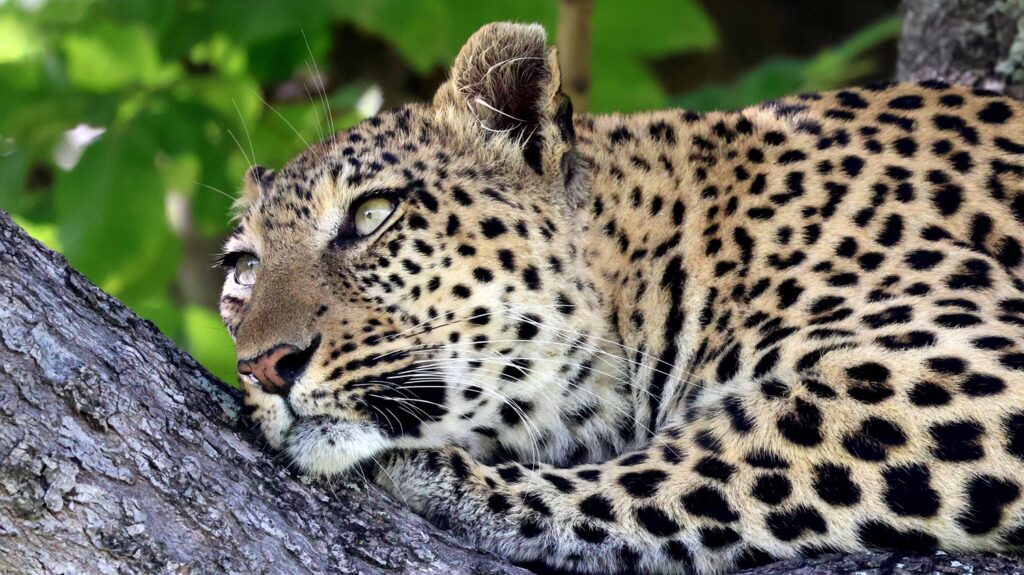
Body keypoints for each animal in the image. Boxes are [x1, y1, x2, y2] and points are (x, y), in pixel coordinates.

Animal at [218, 22, 1024, 574]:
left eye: (372, 214)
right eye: (242, 270)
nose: (263, 366)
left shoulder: (964, 360)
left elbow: (703, 462)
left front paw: (443, 479)